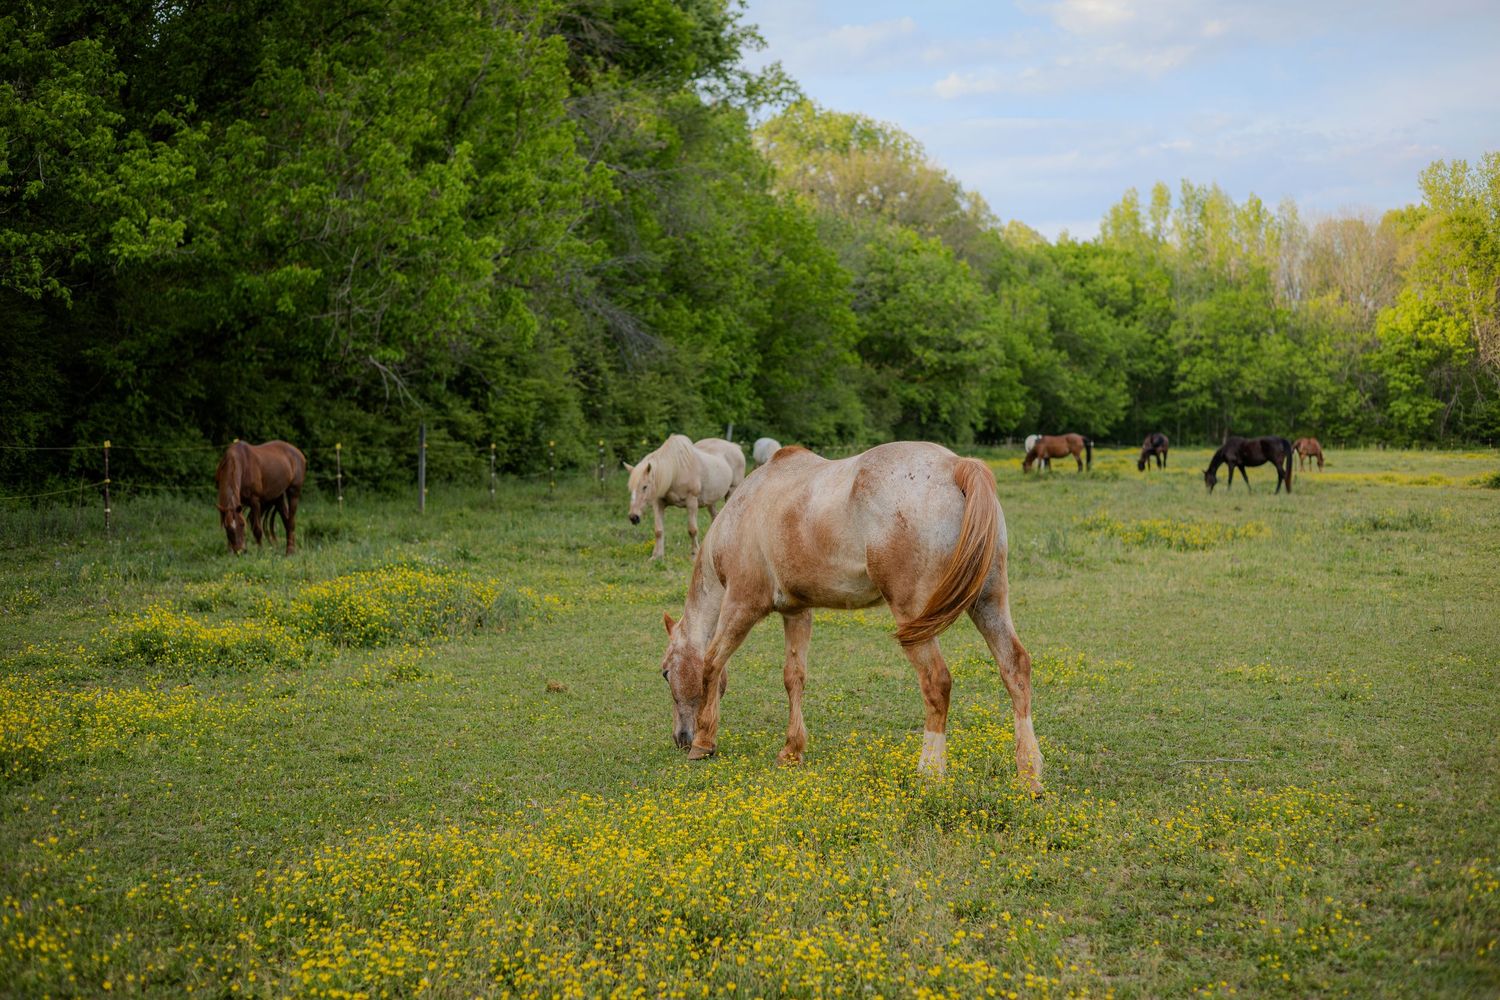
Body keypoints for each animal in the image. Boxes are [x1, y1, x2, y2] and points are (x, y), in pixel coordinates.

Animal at [656, 441, 1041, 793]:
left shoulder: (741, 605)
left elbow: (711, 664)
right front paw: (791, 750)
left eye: (665, 673)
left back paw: (930, 771)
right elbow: (793, 677)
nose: (681, 737)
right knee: (1015, 668)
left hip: (917, 619)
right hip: (988, 603)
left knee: (936, 682)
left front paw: (704, 743)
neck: (745, 509)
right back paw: (1029, 774)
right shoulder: (797, 612)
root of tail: (956, 466)